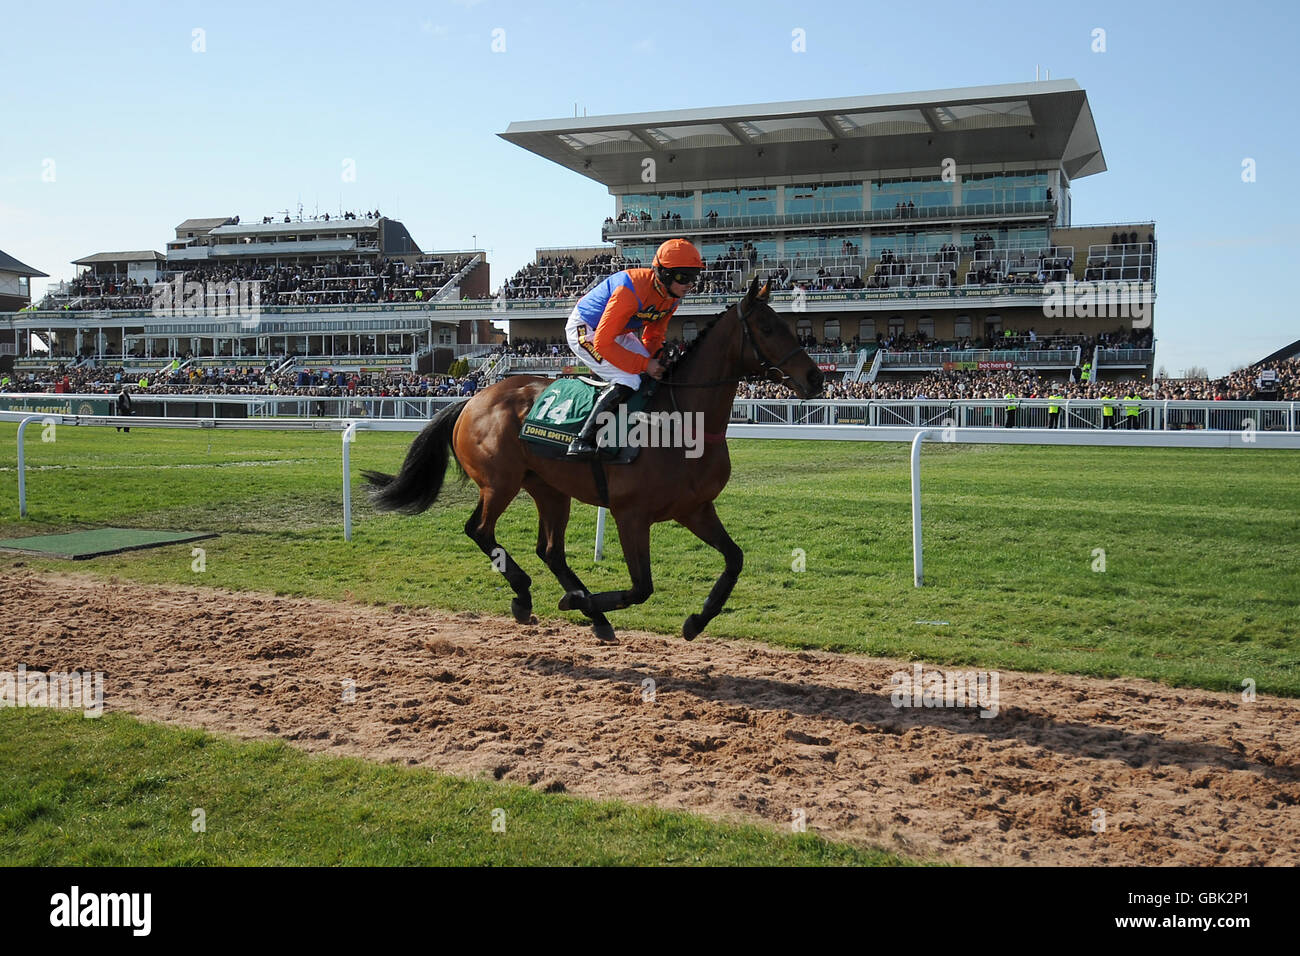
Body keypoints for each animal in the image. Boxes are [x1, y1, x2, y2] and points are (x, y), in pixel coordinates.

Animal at [358, 280, 821, 647]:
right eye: (767, 328)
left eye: (794, 326)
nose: (815, 378)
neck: (682, 419)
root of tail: (472, 398)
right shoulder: (630, 514)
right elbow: (641, 587)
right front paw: (577, 602)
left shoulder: (695, 509)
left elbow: (734, 560)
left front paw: (695, 620)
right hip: (499, 482)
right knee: (480, 530)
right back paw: (529, 594)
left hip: (548, 489)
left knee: (550, 550)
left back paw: (588, 613)